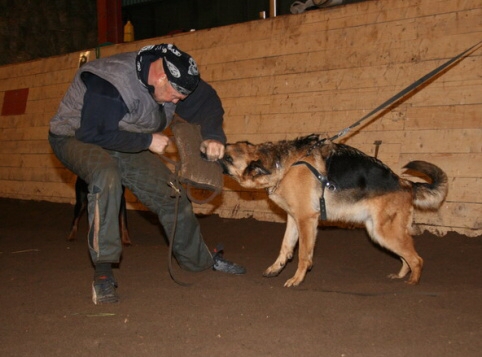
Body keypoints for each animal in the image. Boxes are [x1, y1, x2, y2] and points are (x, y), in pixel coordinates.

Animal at [221, 134, 448, 286]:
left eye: (228, 158)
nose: (213, 150)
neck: (282, 164)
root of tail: (407, 184)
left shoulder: (306, 220)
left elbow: (303, 254)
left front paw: (297, 279)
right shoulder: (294, 219)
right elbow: (285, 247)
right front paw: (276, 268)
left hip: (384, 233)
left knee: (416, 259)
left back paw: (411, 283)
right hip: (380, 233)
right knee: (406, 256)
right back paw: (401, 275)